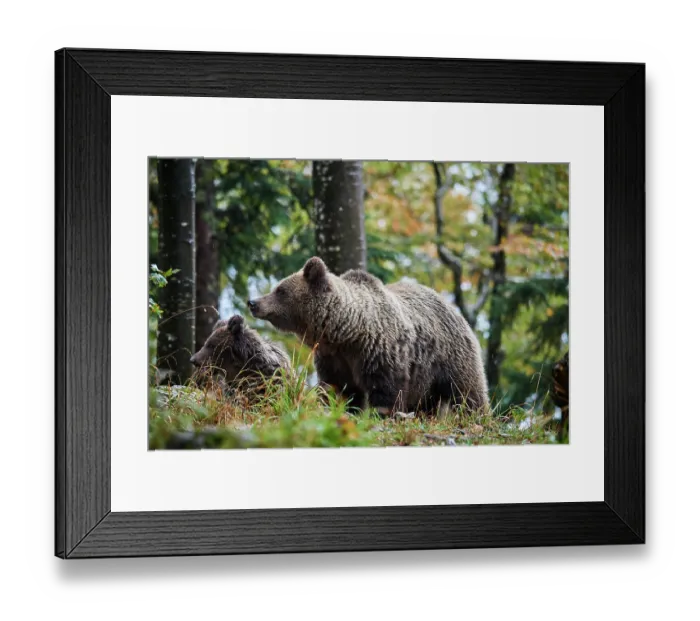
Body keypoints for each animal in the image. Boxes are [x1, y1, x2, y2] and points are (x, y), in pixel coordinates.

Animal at [247, 256, 489, 416]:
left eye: (280, 290)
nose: (253, 302)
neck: (346, 333)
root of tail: (453, 308)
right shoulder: (333, 359)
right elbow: (338, 388)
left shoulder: (380, 352)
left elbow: (386, 390)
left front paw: (381, 414)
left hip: (450, 357)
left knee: (467, 391)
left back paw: (475, 415)